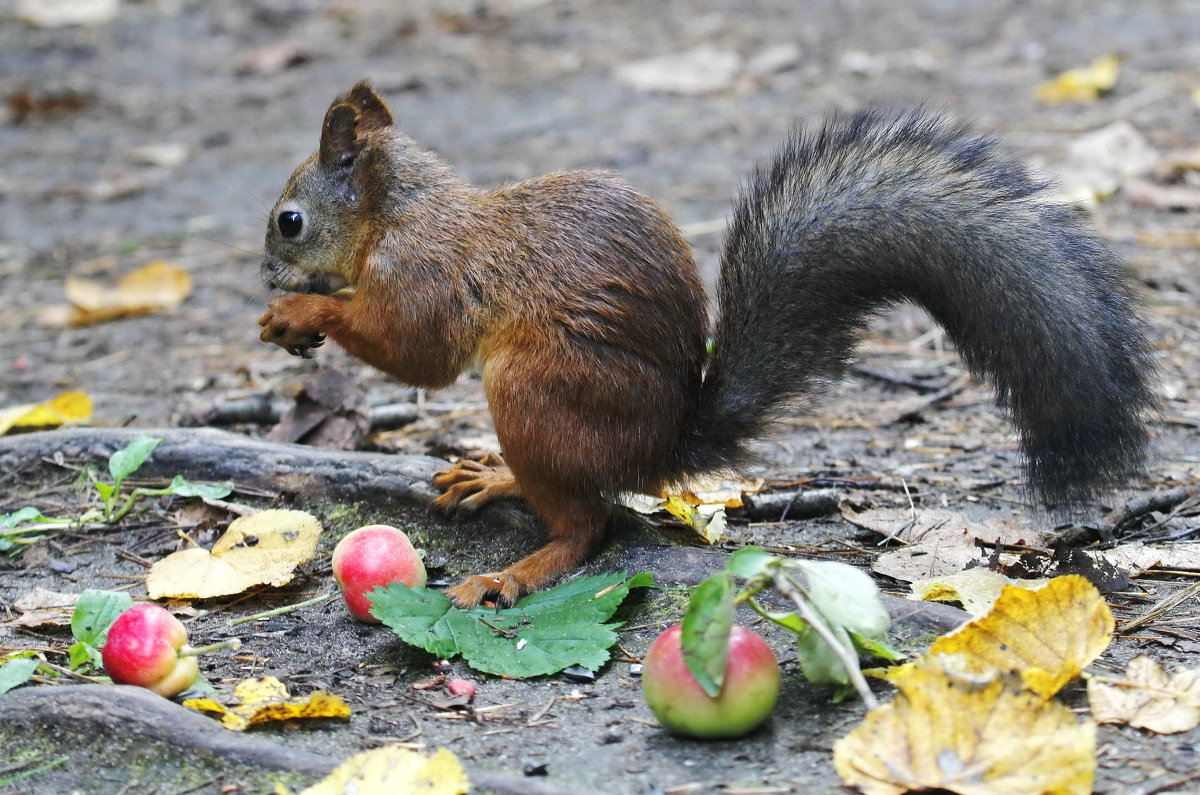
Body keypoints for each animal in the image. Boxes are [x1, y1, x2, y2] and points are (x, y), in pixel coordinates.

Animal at [258, 81, 1156, 607]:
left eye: (289, 220)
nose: (267, 273)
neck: (399, 214)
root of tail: (663, 447)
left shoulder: (427, 277)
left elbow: (418, 353)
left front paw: (303, 313)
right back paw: (494, 475)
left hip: (535, 390)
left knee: (588, 523)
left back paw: (518, 570)